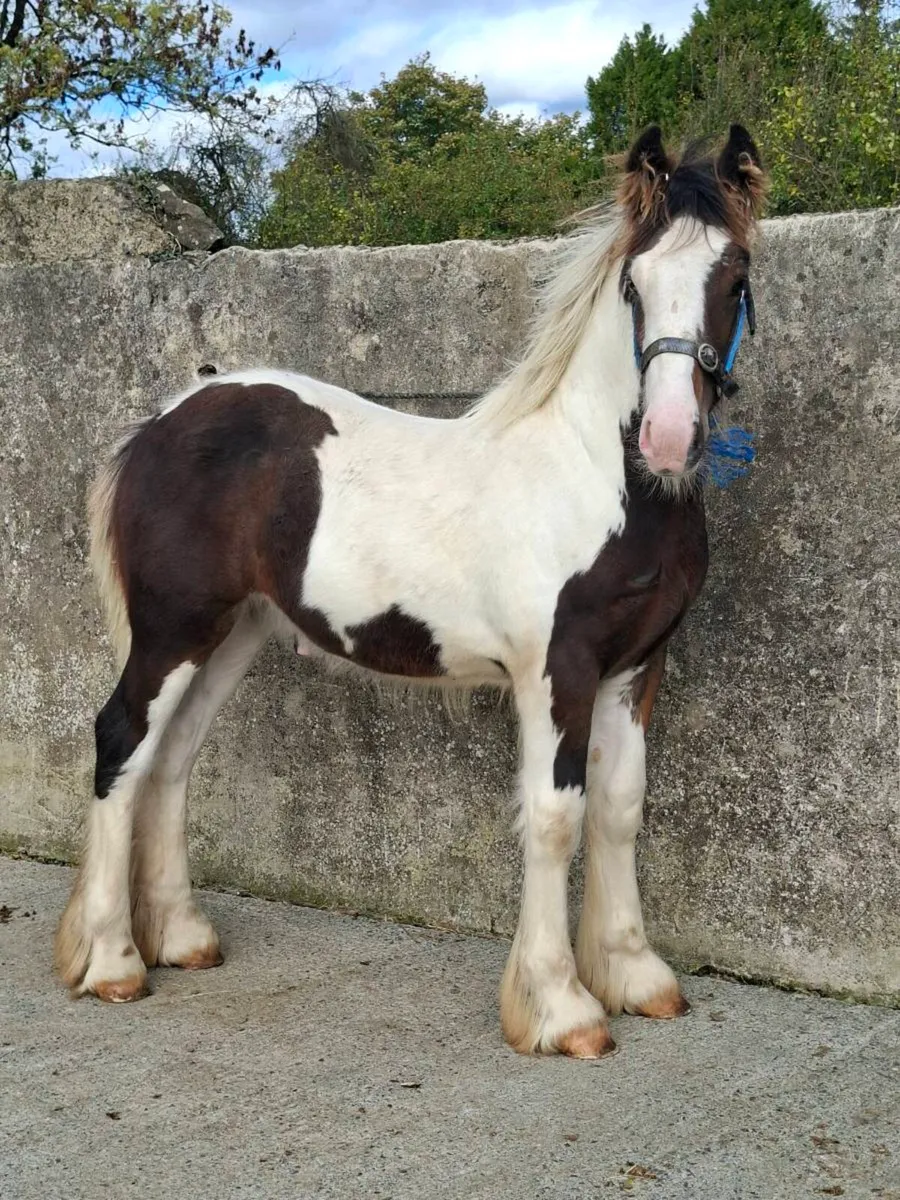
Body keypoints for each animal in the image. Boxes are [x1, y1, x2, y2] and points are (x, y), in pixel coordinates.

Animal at [55, 124, 766, 1058]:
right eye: (633, 283)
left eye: (735, 275)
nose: (668, 437)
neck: (600, 481)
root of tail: (160, 424)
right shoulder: (557, 673)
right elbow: (555, 817)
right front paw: (562, 1008)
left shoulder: (634, 669)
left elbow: (618, 809)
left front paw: (634, 976)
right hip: (173, 630)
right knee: (122, 745)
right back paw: (111, 961)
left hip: (235, 633)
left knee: (170, 758)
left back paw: (180, 937)